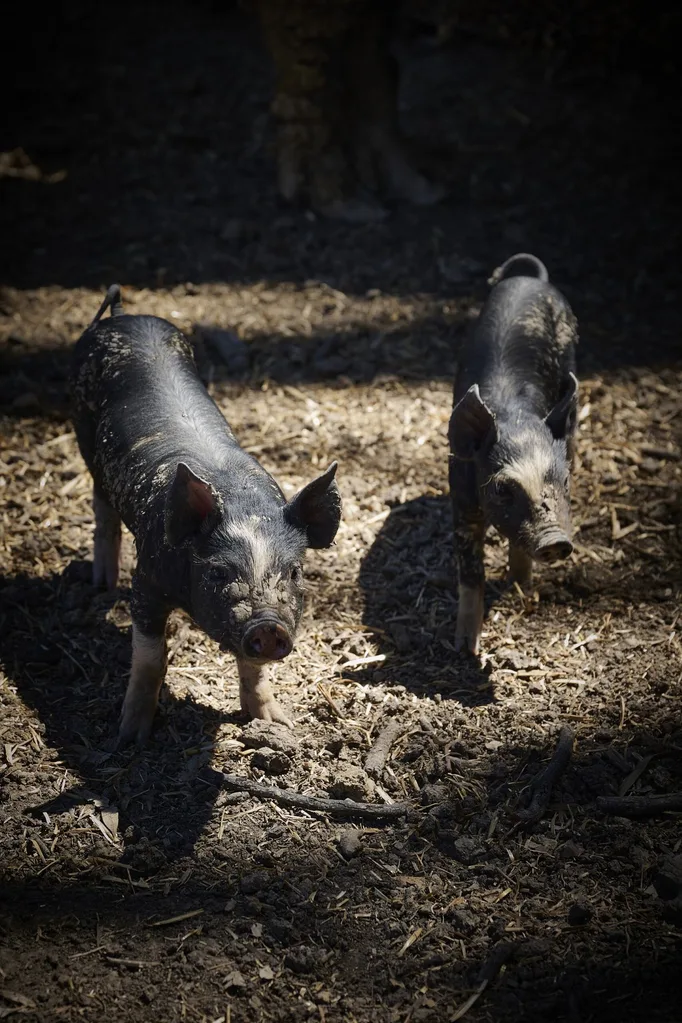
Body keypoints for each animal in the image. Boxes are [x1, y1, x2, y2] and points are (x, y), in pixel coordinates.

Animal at [71, 285, 341, 744]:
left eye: (294, 572)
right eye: (218, 571)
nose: (268, 625)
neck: (243, 505)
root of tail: (122, 317)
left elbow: (252, 669)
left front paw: (276, 723)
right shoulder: (146, 581)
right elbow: (152, 657)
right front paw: (131, 736)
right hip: (84, 435)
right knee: (101, 505)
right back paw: (102, 584)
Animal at [447, 253, 579, 655]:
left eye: (564, 480)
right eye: (502, 488)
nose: (555, 541)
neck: (515, 417)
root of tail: (533, 279)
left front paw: (521, 588)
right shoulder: (461, 500)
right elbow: (470, 572)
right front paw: (465, 647)